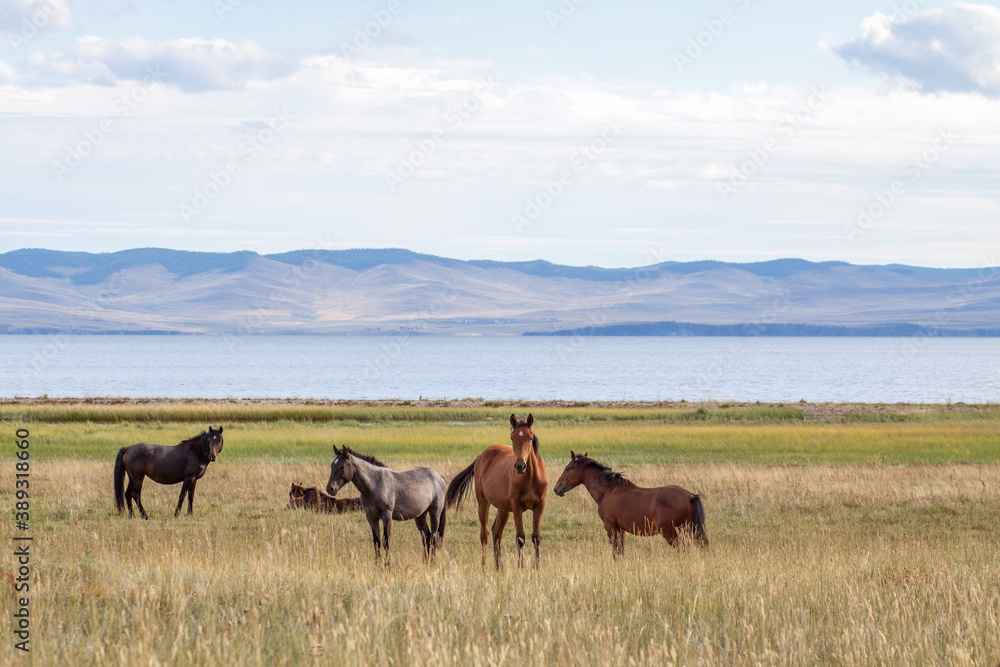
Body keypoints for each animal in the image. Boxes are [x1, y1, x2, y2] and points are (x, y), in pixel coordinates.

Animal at [445, 413, 547, 569]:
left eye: (530, 438)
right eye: (512, 437)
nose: (520, 466)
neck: (530, 478)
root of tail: (481, 456)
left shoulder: (539, 505)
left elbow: (536, 537)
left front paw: (536, 568)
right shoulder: (517, 507)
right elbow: (520, 537)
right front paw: (520, 567)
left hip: (503, 509)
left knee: (497, 532)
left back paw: (499, 566)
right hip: (483, 503)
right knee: (485, 534)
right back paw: (484, 565)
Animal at [553, 451, 708, 557]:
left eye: (567, 469)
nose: (556, 489)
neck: (608, 490)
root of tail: (690, 495)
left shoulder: (610, 527)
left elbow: (616, 551)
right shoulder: (621, 529)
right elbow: (621, 550)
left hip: (671, 533)